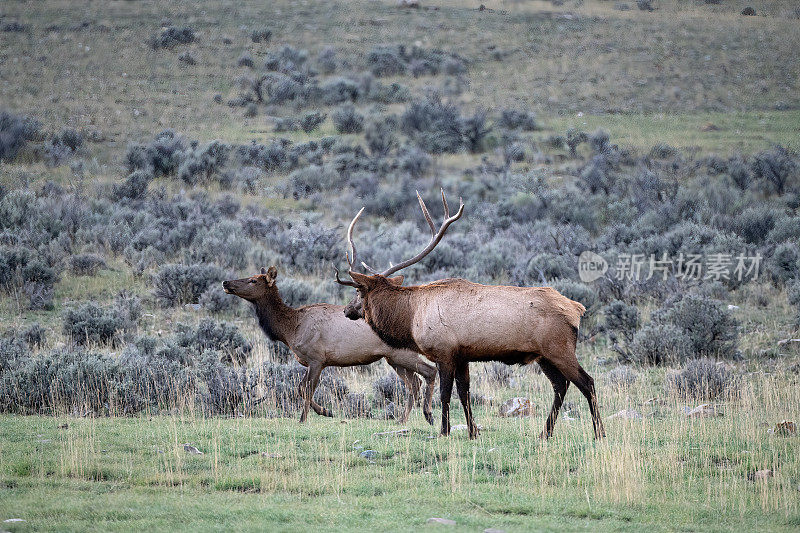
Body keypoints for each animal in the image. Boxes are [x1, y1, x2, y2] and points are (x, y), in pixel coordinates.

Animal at [222, 266, 434, 424]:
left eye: (253, 280)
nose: (226, 282)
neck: (289, 329)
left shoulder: (316, 358)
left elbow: (305, 388)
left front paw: (310, 416)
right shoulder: (312, 362)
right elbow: (300, 387)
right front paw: (325, 411)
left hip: (403, 354)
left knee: (428, 372)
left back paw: (426, 416)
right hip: (393, 359)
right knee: (414, 384)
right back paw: (402, 419)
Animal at [334, 189, 604, 438]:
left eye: (358, 291)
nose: (347, 310)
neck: (411, 317)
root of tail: (577, 309)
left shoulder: (444, 351)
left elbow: (445, 394)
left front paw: (444, 431)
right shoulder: (462, 355)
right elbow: (464, 393)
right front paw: (473, 431)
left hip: (558, 347)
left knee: (587, 382)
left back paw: (598, 432)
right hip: (543, 355)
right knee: (561, 385)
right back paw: (544, 433)